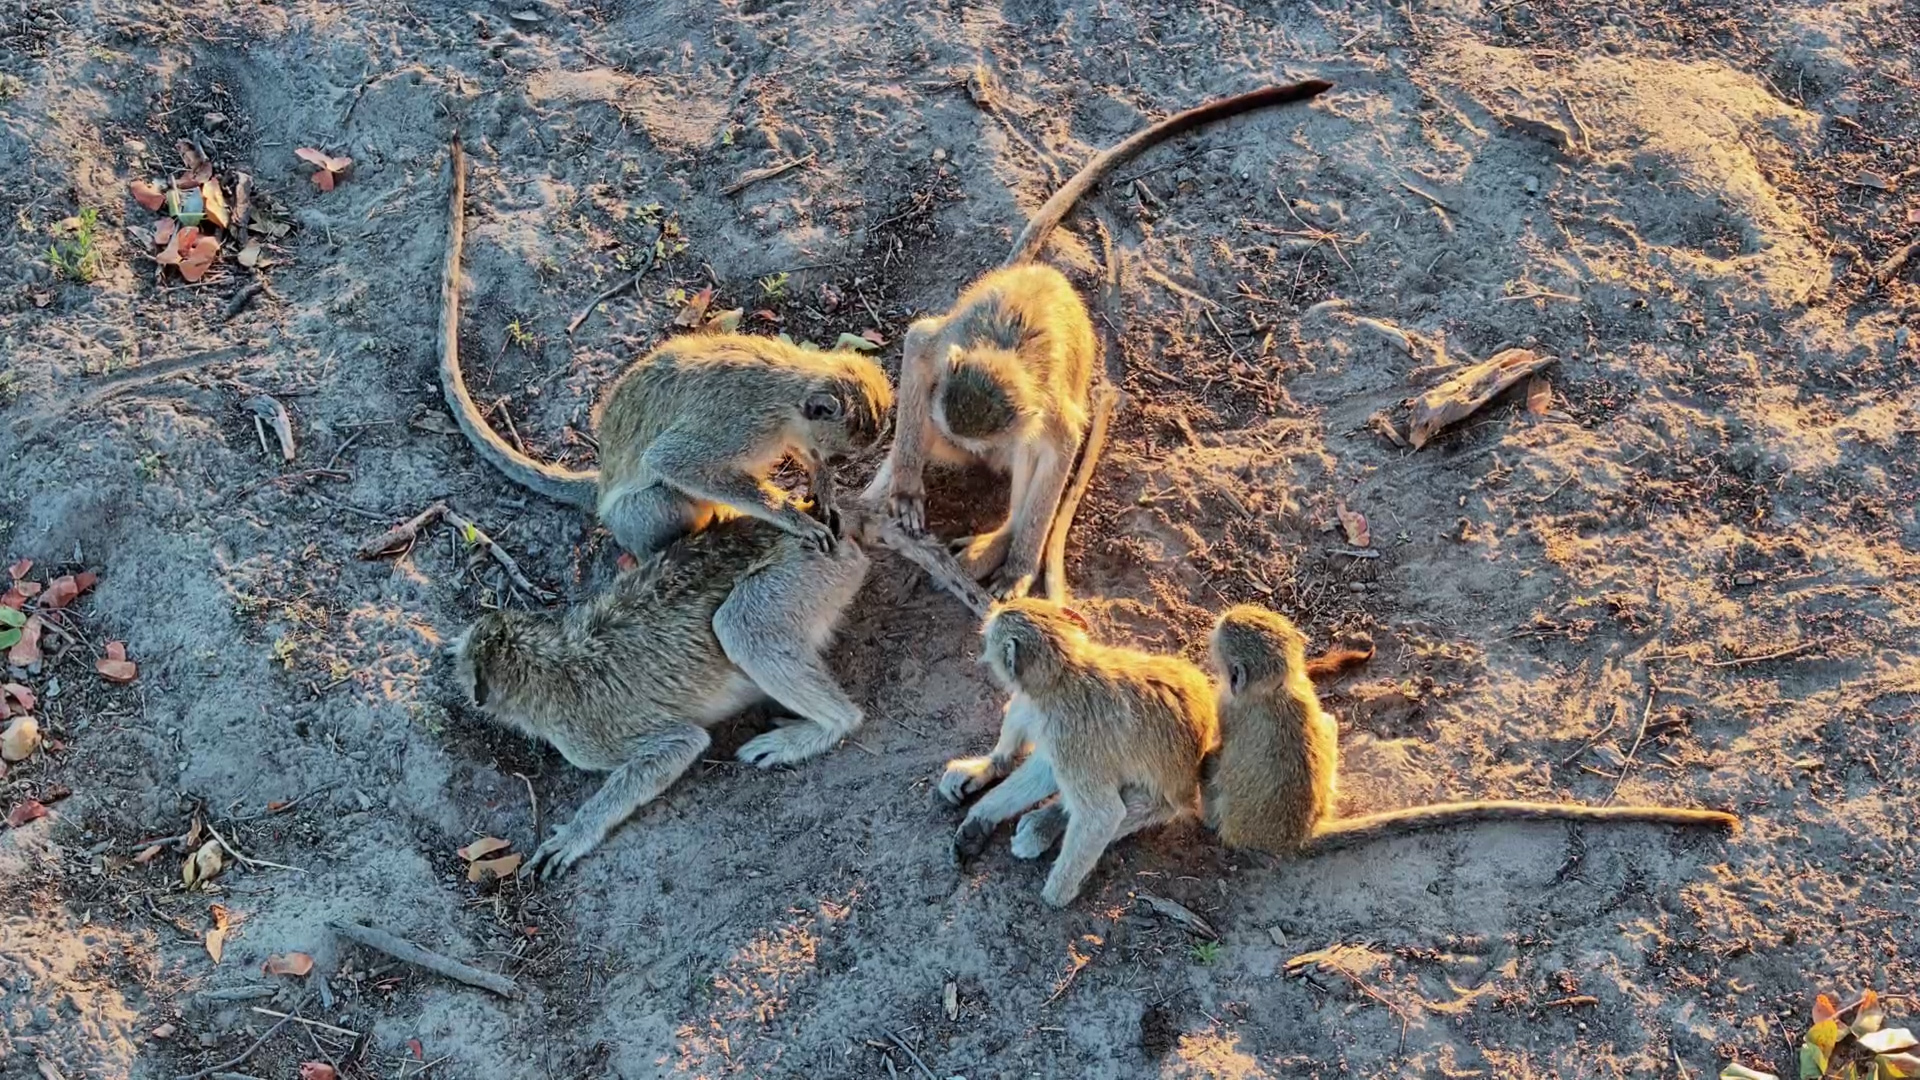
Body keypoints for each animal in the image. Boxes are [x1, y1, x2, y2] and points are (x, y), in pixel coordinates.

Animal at [437, 139, 893, 558]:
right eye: (841, 456)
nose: (833, 465)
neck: (786, 395)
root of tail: (600, 485)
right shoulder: (738, 425)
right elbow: (670, 461)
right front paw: (793, 515)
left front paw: (823, 487)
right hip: (638, 516)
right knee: (662, 498)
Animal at [446, 490, 872, 880]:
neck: (549, 660)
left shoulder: (582, 736)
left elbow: (682, 743)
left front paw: (578, 832)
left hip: (801, 577)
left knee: (742, 626)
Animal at [866, 80, 1334, 599]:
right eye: (954, 437)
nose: (969, 453)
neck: (1004, 354)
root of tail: (1041, 272)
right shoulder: (946, 350)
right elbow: (916, 346)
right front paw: (906, 488)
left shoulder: (1045, 409)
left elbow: (1062, 444)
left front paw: (1019, 566)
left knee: (1033, 453)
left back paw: (1000, 541)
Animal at [938, 597, 1218, 907]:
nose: (983, 654)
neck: (1066, 673)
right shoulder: (1058, 728)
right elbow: (1045, 770)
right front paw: (982, 814)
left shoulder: (1069, 734)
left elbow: (1103, 815)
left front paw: (1056, 895)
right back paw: (997, 765)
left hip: (1166, 802)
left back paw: (1045, 824)